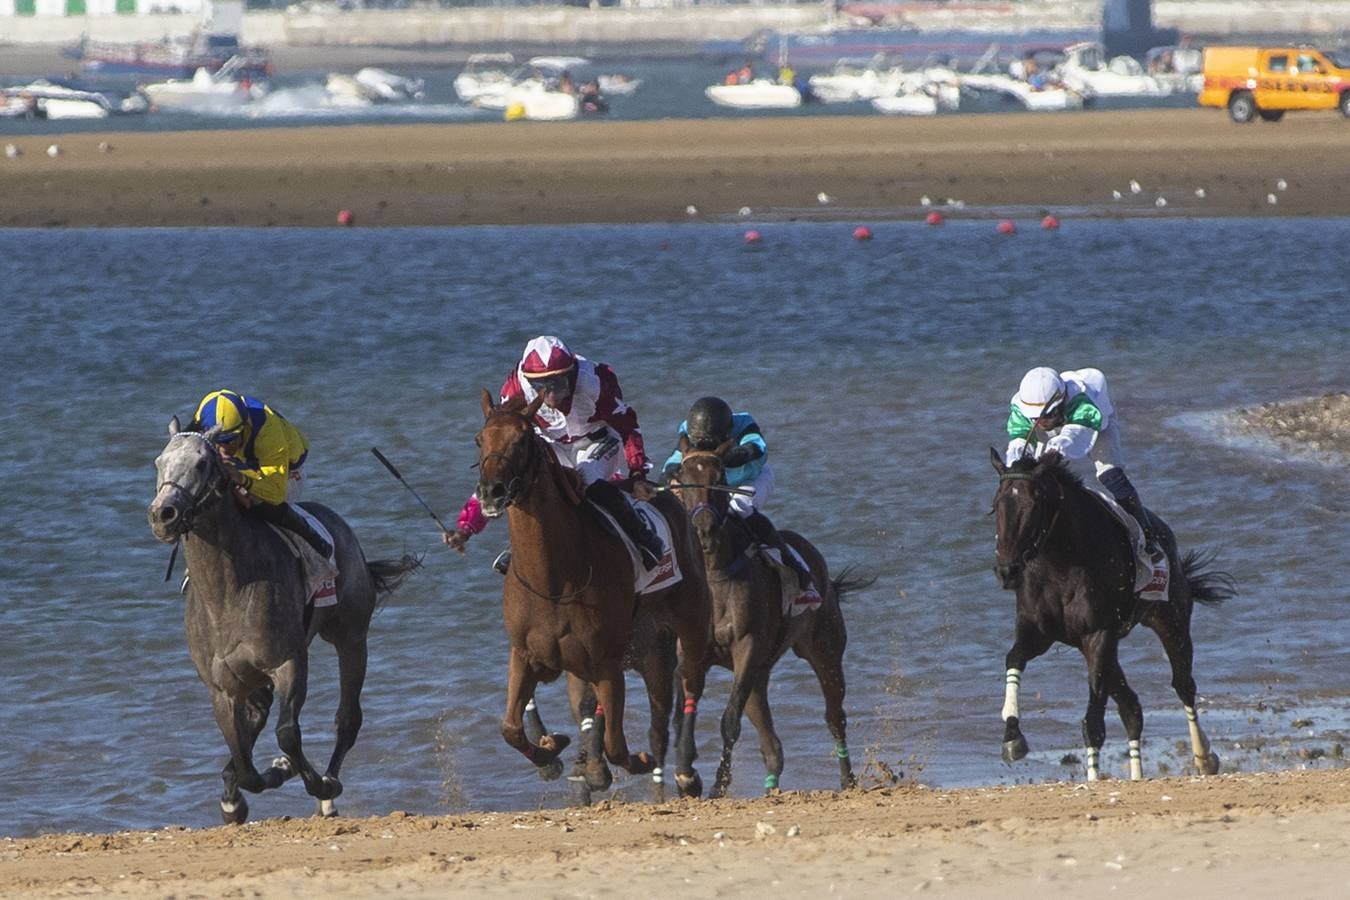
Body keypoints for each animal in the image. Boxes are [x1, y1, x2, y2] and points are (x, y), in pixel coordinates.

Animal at [147, 418, 415, 825]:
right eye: (159, 463)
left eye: (202, 463)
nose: (163, 515)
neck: (228, 591)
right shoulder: (222, 688)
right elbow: (243, 758)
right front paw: (238, 798)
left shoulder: (287, 661)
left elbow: (287, 733)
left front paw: (312, 781)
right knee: (258, 718)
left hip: (351, 635)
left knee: (347, 718)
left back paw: (328, 788)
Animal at [469, 391, 712, 793]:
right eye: (479, 439)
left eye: (523, 438)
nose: (491, 492)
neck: (554, 580)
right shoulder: (525, 655)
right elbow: (510, 729)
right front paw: (551, 748)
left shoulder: (605, 662)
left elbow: (616, 745)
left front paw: (638, 760)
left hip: (690, 619)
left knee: (691, 685)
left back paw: (687, 774)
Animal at [672, 439, 864, 798]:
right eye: (683, 477)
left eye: (719, 477)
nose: (704, 529)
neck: (715, 574)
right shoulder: (692, 652)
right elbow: (685, 709)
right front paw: (686, 776)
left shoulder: (747, 647)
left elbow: (729, 722)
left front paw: (717, 785)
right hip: (759, 675)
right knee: (772, 746)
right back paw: (771, 786)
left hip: (824, 651)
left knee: (835, 716)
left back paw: (848, 780)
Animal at [988, 450, 1236, 782]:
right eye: (996, 505)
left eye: (1034, 504)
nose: (1007, 570)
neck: (1060, 564)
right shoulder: (1038, 632)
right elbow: (1013, 659)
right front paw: (1012, 736)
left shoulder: (1099, 634)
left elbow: (1093, 721)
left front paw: (1093, 778)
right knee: (1132, 708)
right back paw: (1137, 773)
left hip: (1170, 620)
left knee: (1183, 685)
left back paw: (1204, 758)